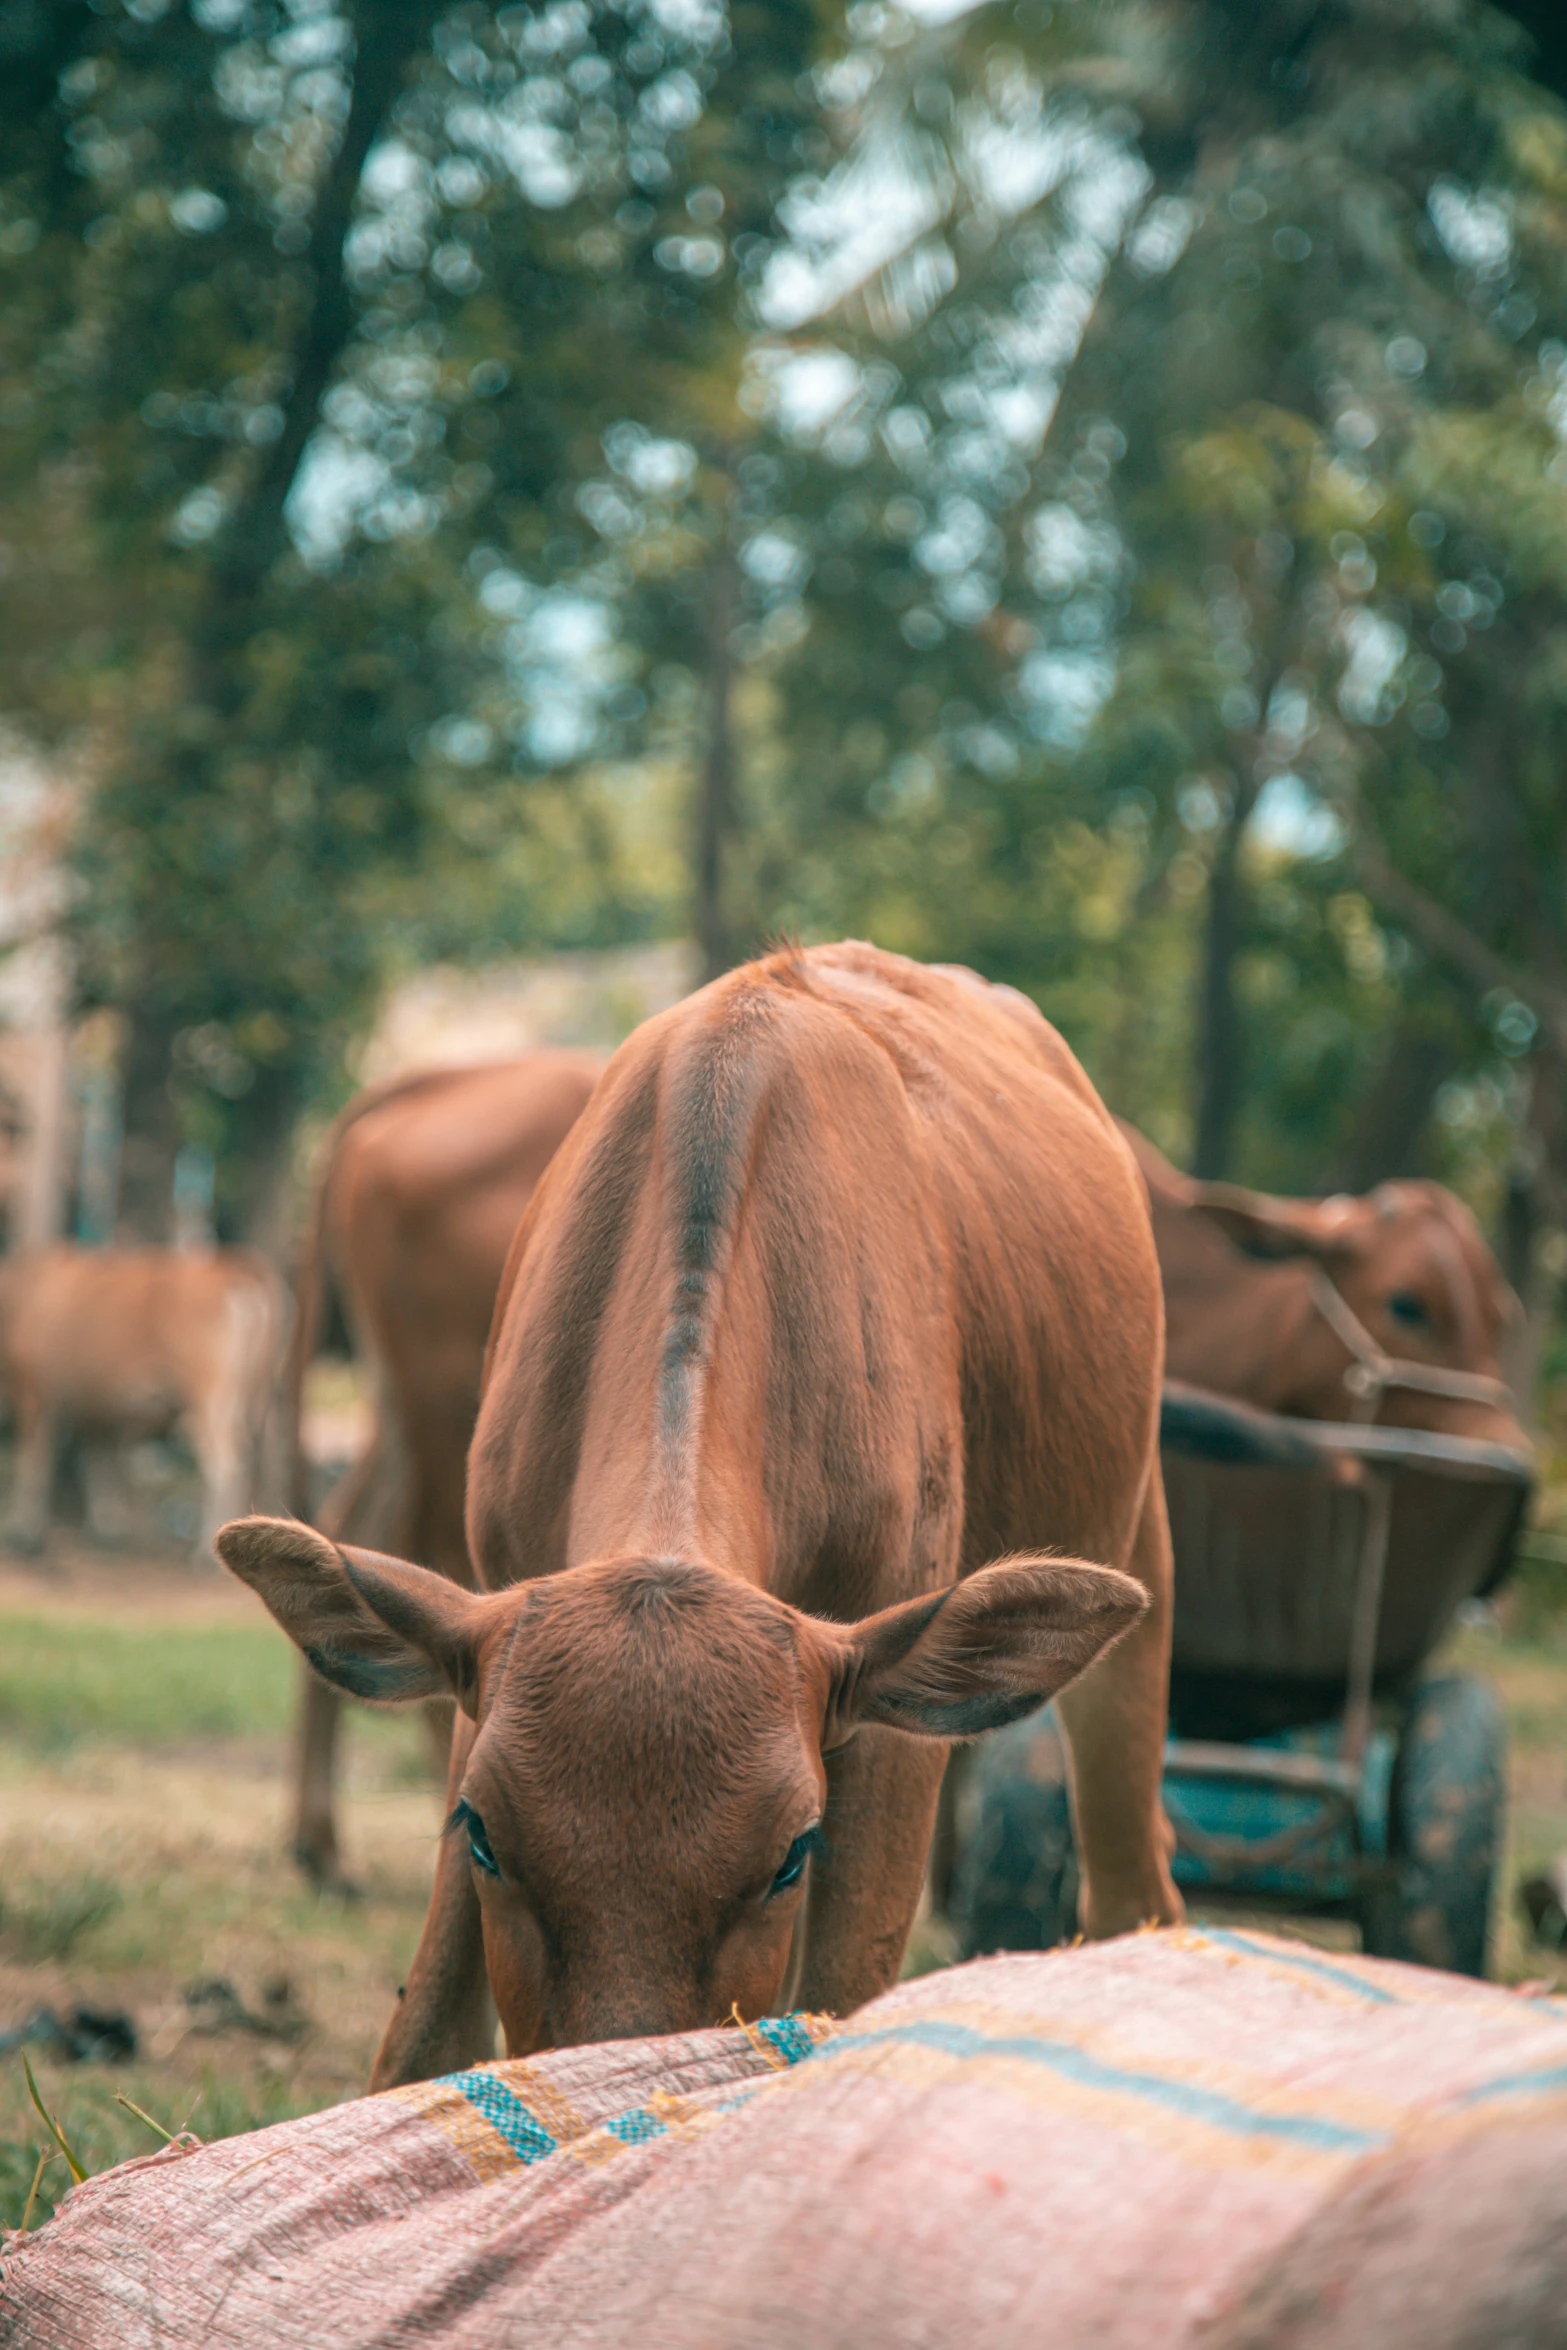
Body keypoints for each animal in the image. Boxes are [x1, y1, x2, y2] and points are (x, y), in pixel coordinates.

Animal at [0, 1240, 285, 1569]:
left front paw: (23, 1531)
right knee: (267, 1460)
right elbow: (97, 1461)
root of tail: (235, 1264)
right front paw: (107, 1528)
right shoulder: (95, 1405)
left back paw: (205, 1552)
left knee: (225, 1465)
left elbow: (33, 1464)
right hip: (262, 1397)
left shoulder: (34, 1392)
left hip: (211, 1398)